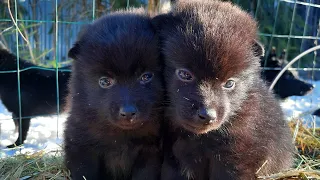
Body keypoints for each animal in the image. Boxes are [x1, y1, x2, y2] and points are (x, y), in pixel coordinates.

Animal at [63, 7, 164, 179]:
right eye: (105, 81)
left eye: (146, 76)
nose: (128, 112)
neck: (122, 136)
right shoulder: (81, 144)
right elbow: (84, 172)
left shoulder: (151, 150)